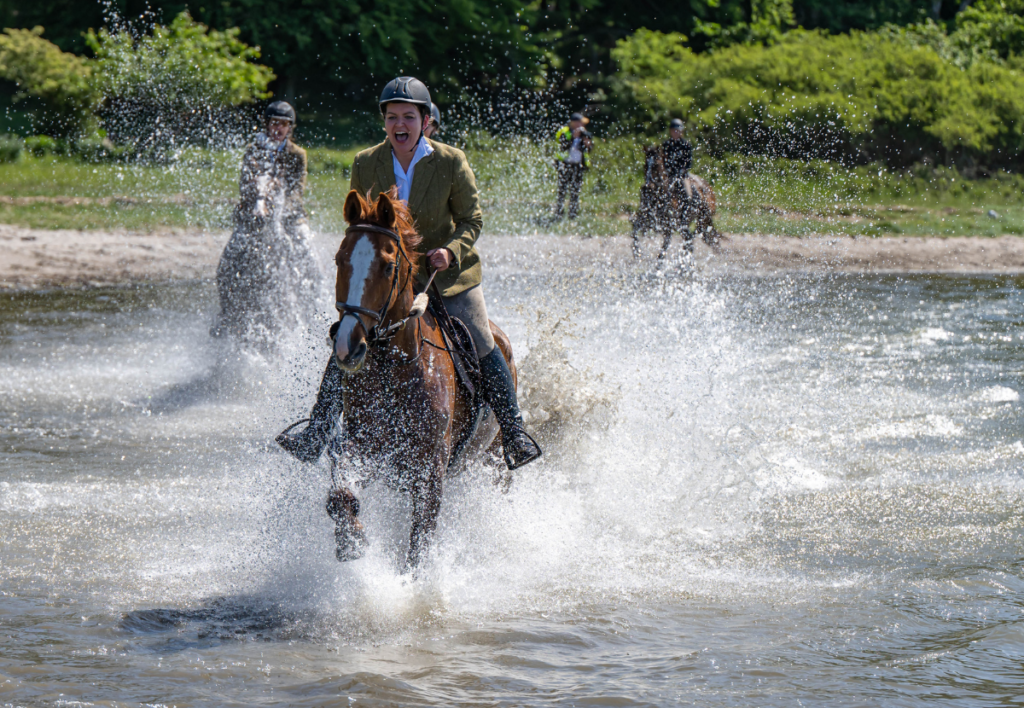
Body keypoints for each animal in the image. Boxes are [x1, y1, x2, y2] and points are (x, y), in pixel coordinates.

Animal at [325, 186, 516, 569]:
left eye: (387, 266)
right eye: (340, 260)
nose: (347, 346)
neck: (393, 373)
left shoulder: (429, 474)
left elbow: (418, 549)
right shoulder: (365, 451)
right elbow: (340, 491)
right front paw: (352, 540)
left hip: (494, 460)